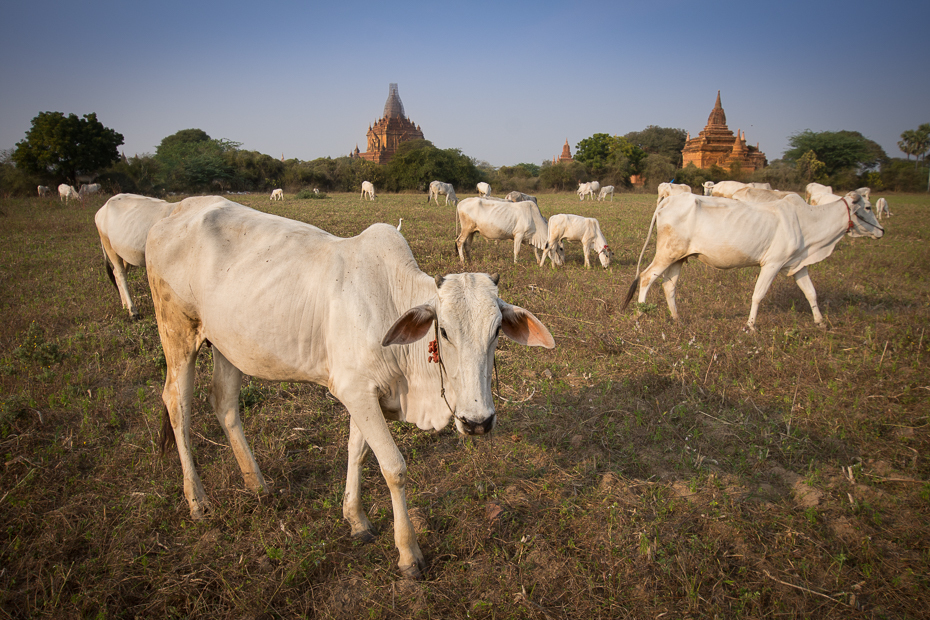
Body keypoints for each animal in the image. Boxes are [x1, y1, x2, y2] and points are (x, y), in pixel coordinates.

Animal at [144, 196, 552, 580]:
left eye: (497, 331)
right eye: (445, 331)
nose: (477, 422)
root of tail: (171, 211)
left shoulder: (365, 393)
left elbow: (357, 451)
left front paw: (356, 520)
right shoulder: (355, 390)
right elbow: (393, 467)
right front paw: (409, 555)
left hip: (227, 343)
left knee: (224, 402)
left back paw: (256, 484)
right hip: (177, 331)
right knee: (177, 404)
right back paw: (197, 500)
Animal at [620, 193, 880, 330]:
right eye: (867, 207)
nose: (882, 231)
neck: (807, 222)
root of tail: (669, 199)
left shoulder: (798, 265)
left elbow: (811, 293)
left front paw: (821, 322)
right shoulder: (773, 263)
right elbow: (758, 294)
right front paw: (751, 326)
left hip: (679, 258)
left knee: (668, 286)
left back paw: (677, 318)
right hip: (667, 254)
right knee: (646, 277)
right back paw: (640, 315)